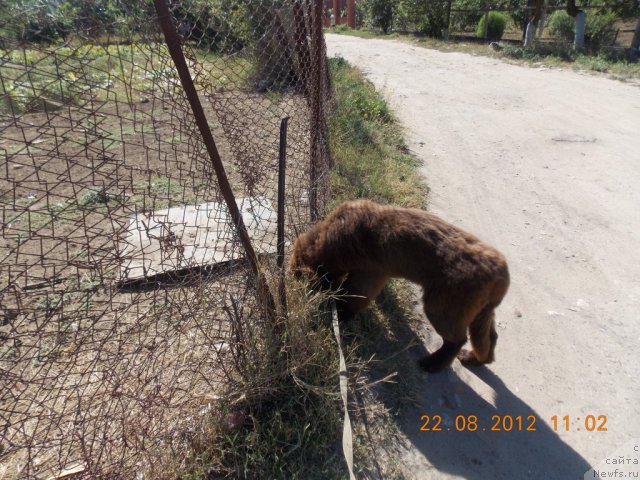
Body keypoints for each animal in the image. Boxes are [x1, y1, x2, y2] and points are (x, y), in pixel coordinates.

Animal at [290, 201, 510, 374]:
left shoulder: (369, 272)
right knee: (489, 336)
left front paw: (341, 312)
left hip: (446, 305)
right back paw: (474, 358)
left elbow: (355, 294)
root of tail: (501, 275)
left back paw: (433, 363)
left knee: (457, 339)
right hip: (479, 311)